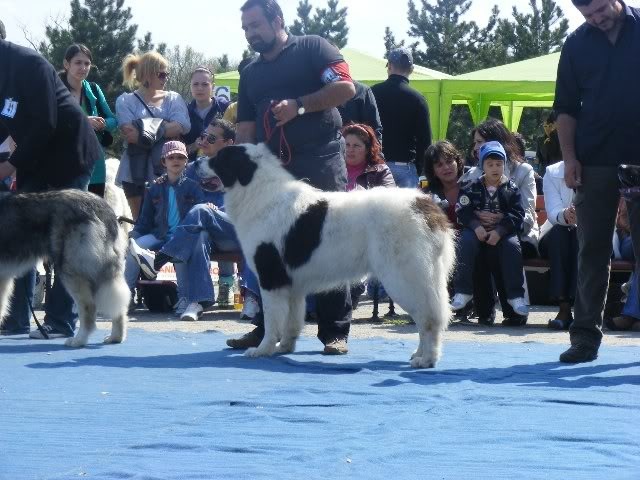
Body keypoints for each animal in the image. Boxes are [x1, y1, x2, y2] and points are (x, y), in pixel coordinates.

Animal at [0, 189, 130, 346]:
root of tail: (101, 206)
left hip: (71, 268)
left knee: (89, 307)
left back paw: (79, 340)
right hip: (102, 270)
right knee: (119, 307)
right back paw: (115, 337)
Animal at [200, 142, 456, 368]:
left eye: (219, 158)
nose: (197, 161)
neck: (257, 191)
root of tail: (424, 205)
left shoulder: (271, 278)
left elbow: (272, 321)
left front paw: (262, 350)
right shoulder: (292, 285)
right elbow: (292, 321)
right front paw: (284, 348)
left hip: (403, 277)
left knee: (428, 319)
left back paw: (427, 360)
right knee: (428, 316)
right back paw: (418, 354)